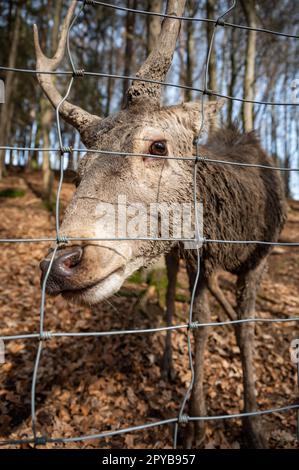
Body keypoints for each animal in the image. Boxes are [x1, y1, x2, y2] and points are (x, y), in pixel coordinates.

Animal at [37, 0, 286, 448]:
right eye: (79, 168)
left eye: (157, 145)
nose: (60, 263)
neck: (240, 229)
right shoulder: (200, 260)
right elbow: (199, 325)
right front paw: (199, 424)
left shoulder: (260, 258)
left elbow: (246, 329)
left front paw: (254, 423)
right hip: (175, 253)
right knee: (170, 294)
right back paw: (170, 362)